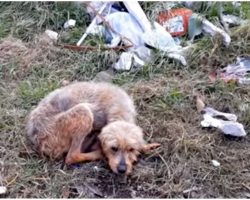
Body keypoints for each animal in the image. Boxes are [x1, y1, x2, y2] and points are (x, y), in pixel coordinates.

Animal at [25, 81, 160, 175]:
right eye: (113, 148)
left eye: (131, 149)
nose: (122, 170)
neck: (119, 111)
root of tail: (36, 138)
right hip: (83, 112)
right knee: (72, 156)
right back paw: (98, 153)